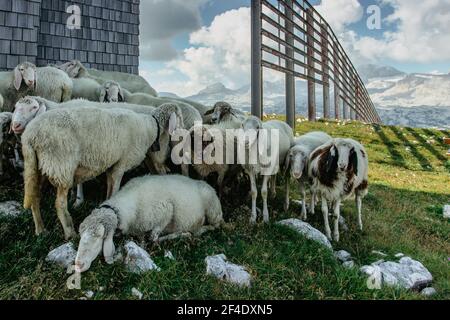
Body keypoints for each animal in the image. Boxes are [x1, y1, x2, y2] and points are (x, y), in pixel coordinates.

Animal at [22, 104, 184, 239]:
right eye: (180, 116)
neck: (150, 128)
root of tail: (30, 135)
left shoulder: (112, 165)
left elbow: (110, 190)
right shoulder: (121, 164)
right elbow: (115, 190)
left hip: (38, 167)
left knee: (35, 197)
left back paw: (41, 230)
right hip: (61, 165)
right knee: (60, 204)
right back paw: (70, 233)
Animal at [75, 174, 225, 272]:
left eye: (98, 239)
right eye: (81, 236)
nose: (78, 265)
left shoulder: (166, 211)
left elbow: (154, 238)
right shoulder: (138, 228)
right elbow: (143, 239)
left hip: (213, 209)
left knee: (214, 225)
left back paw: (194, 231)